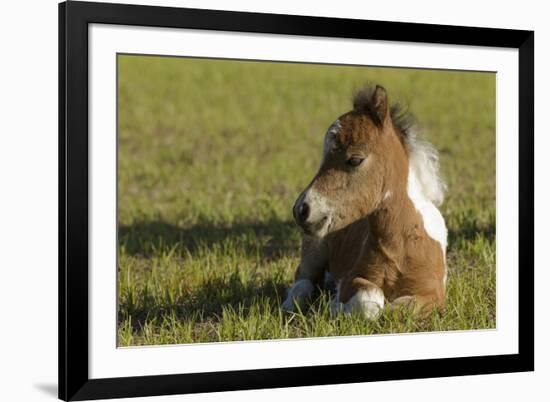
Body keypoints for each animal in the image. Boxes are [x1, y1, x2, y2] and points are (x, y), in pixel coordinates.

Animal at [284, 85, 448, 318]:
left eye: (355, 159)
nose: (302, 210)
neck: (401, 245)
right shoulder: (354, 277)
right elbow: (371, 301)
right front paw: (334, 305)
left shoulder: (434, 292)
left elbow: (401, 308)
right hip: (314, 248)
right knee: (303, 280)